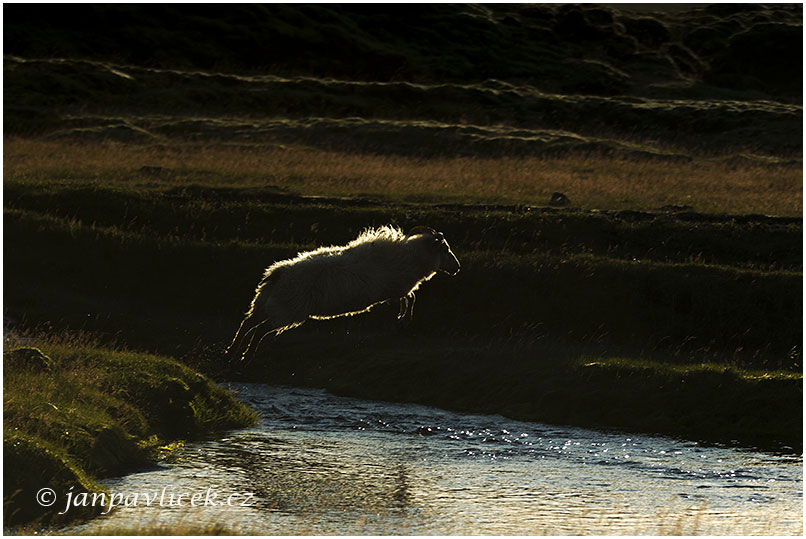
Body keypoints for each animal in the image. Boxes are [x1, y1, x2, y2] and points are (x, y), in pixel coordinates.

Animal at [227, 226, 460, 360]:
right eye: (446, 249)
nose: (457, 268)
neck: (410, 257)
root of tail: (276, 274)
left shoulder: (395, 290)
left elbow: (408, 298)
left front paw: (402, 319)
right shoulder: (396, 287)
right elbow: (410, 298)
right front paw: (403, 319)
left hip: (266, 305)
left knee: (247, 323)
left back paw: (231, 351)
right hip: (287, 310)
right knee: (258, 330)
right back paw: (247, 354)